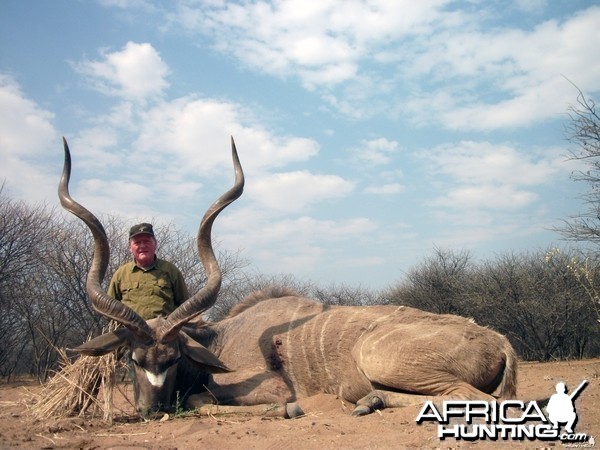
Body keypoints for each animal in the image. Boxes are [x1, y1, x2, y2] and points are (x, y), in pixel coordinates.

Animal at [62, 137, 520, 418]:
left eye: (173, 358)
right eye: (132, 359)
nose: (150, 410)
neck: (220, 339)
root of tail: (499, 342)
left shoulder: (268, 388)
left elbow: (199, 397)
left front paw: (293, 409)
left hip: (380, 357)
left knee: (470, 398)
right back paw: (368, 401)